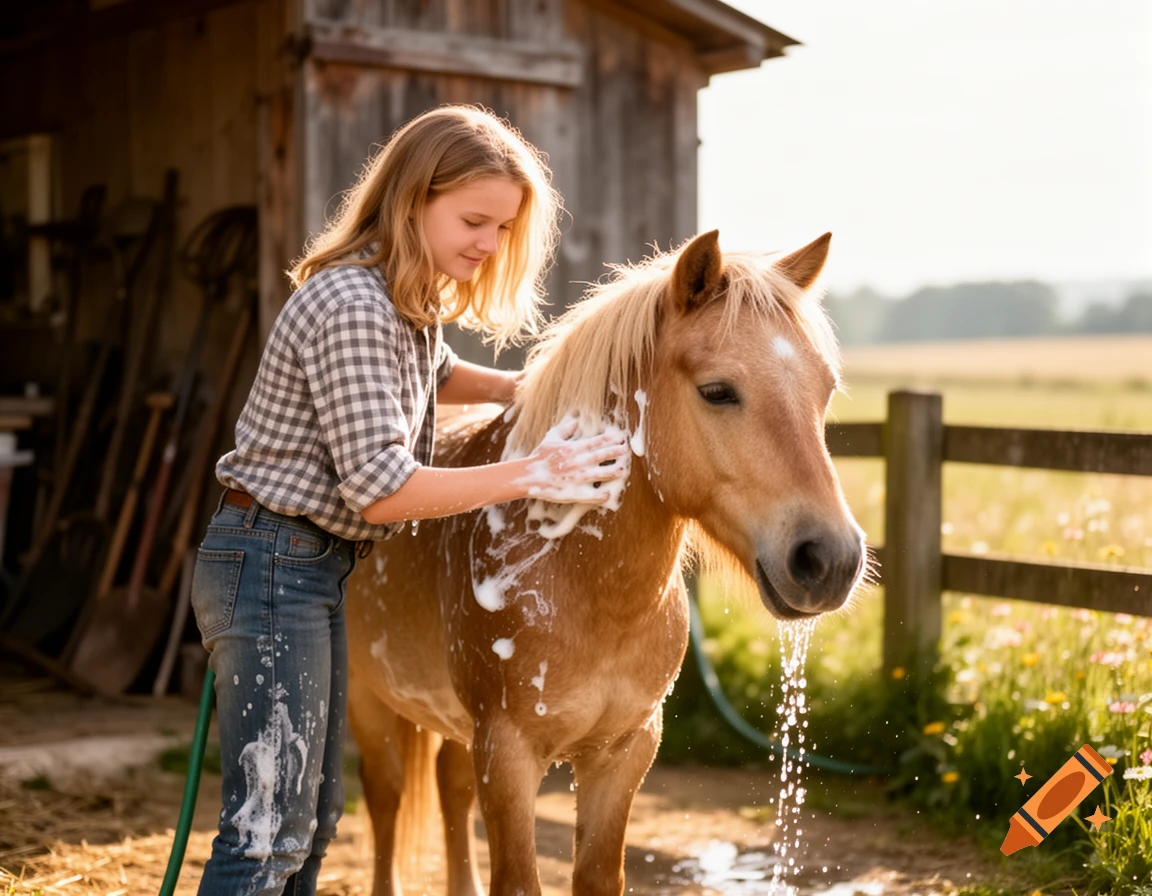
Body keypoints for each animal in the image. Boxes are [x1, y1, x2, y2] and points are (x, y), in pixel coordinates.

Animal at [344, 229, 866, 896]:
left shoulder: (623, 752)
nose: (830, 559)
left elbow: (595, 874)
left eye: (824, 391)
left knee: (449, 791)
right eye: (717, 391)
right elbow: (517, 879)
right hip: (369, 699)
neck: (583, 581)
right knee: (385, 797)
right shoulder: (508, 753)